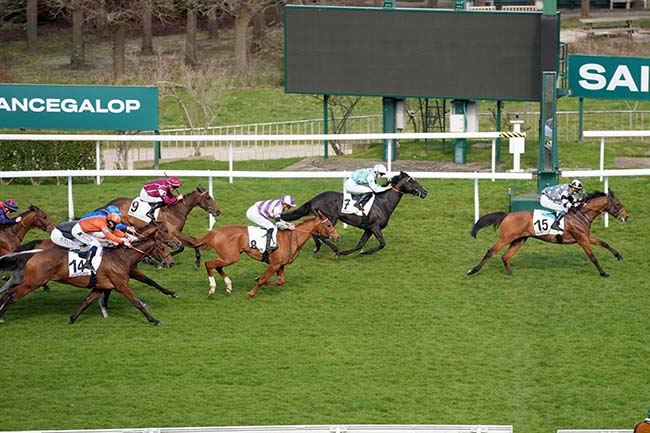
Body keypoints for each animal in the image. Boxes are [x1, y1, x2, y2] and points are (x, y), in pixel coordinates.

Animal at [0, 221, 182, 326]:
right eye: (163, 244)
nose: (171, 261)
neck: (121, 256)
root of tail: (35, 253)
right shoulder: (121, 285)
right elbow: (136, 302)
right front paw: (154, 320)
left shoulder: (103, 283)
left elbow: (88, 300)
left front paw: (73, 318)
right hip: (32, 283)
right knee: (12, 296)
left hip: (28, 280)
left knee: (8, 291)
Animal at [177, 211, 340, 298]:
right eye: (328, 224)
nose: (337, 237)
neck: (290, 238)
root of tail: (216, 232)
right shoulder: (274, 264)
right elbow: (263, 279)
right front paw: (251, 293)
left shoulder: (280, 265)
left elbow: (280, 281)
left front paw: (256, 280)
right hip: (231, 257)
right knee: (209, 264)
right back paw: (212, 288)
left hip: (228, 257)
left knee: (217, 266)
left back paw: (228, 286)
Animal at [278, 170, 426, 255]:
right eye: (412, 181)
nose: (425, 192)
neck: (383, 202)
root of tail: (314, 199)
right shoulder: (374, 226)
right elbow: (382, 243)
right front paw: (365, 252)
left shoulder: (368, 228)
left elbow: (360, 244)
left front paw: (354, 252)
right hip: (330, 219)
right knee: (321, 234)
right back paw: (334, 249)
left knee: (314, 232)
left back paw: (318, 248)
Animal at [466, 190, 628, 276]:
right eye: (618, 204)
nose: (626, 217)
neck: (581, 215)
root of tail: (507, 214)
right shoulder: (581, 238)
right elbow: (592, 256)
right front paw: (603, 273)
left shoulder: (586, 236)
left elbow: (604, 243)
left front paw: (619, 256)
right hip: (506, 237)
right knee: (490, 251)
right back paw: (473, 270)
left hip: (519, 239)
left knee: (505, 256)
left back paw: (510, 273)